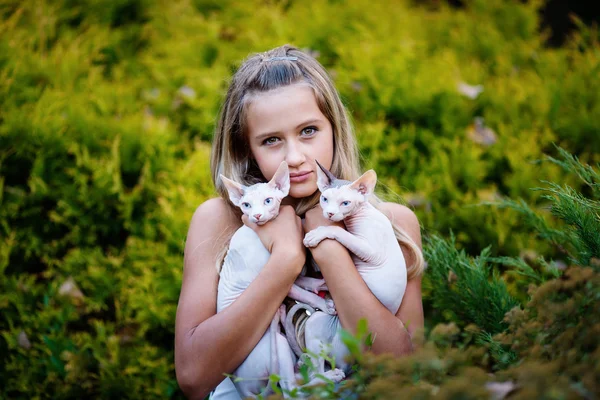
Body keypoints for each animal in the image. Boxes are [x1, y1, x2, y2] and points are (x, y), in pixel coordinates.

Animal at [219, 161, 342, 398]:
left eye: (268, 200)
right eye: (246, 205)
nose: (257, 216)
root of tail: (241, 387)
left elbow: (302, 281)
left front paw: (318, 284)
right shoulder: (277, 275)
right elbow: (301, 291)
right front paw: (324, 304)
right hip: (276, 345)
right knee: (291, 391)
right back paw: (328, 376)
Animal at [296, 161, 408, 376]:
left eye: (345, 203)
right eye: (325, 199)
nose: (330, 213)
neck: (363, 213)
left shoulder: (372, 251)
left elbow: (339, 231)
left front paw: (317, 233)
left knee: (318, 373)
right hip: (317, 323)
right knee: (315, 371)